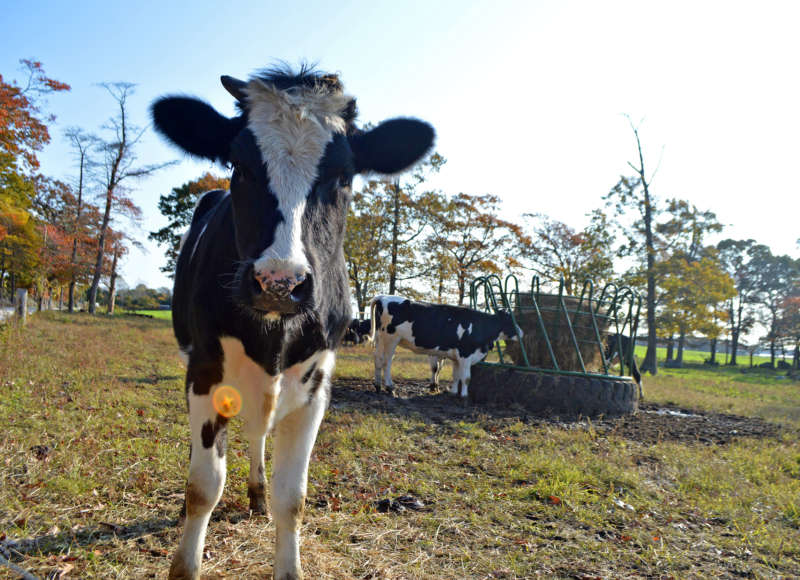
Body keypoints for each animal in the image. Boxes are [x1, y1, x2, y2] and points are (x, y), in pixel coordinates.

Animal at [149, 64, 432, 580]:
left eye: (343, 176)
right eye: (239, 166)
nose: (279, 281)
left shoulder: (316, 384)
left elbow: (292, 498)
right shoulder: (203, 371)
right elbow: (203, 486)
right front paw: (186, 560)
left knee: (258, 435)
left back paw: (257, 494)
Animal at [368, 294, 520, 398]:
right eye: (510, 320)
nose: (521, 332)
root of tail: (383, 297)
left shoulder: (456, 356)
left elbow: (455, 375)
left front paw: (453, 392)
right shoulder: (465, 354)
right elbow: (466, 377)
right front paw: (464, 396)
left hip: (380, 338)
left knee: (377, 358)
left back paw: (378, 386)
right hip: (391, 339)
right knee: (386, 361)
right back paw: (390, 387)